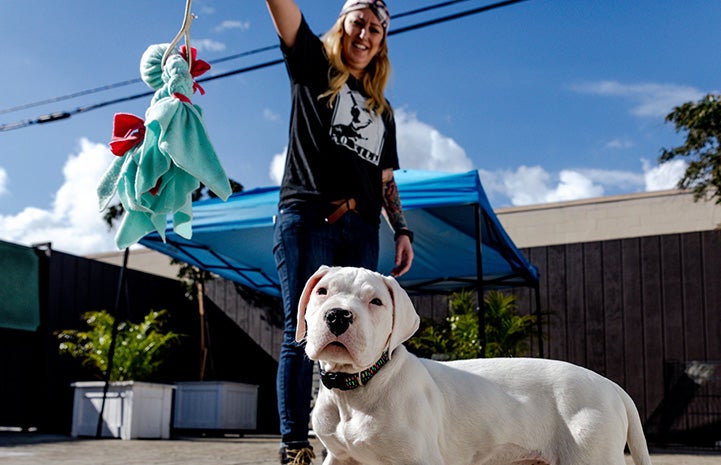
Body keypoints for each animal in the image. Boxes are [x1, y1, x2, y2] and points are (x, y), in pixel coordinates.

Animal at [296, 266, 652, 464]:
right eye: (322, 291)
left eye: (376, 302)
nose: (338, 316)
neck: (357, 389)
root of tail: (609, 385)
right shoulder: (341, 457)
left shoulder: (421, 459)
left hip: (592, 454)